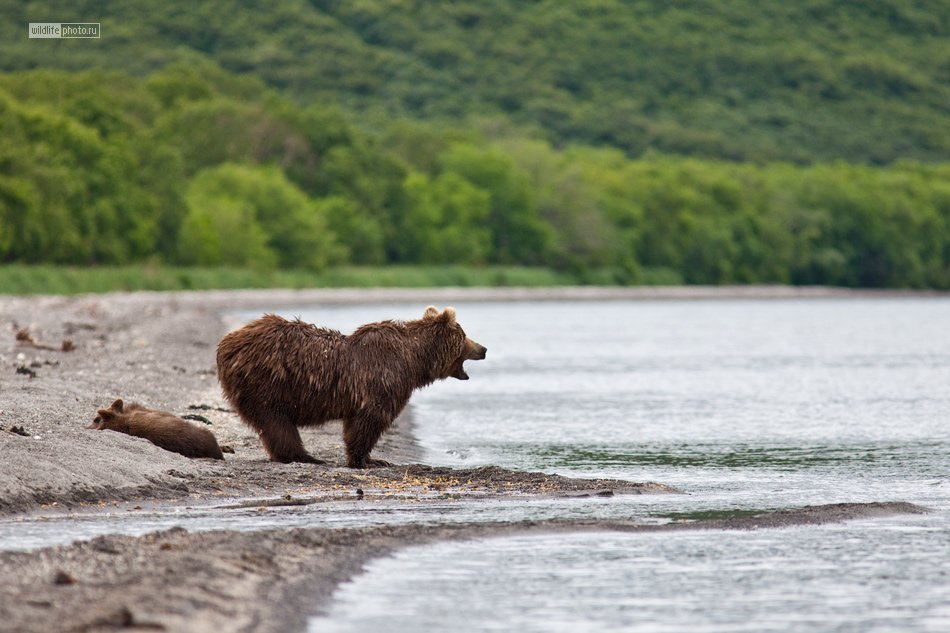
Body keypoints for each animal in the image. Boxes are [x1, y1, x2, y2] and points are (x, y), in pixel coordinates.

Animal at [215, 306, 484, 470]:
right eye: (464, 335)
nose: (483, 348)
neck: (414, 360)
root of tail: (226, 344)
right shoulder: (383, 381)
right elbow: (370, 420)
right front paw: (366, 460)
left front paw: (372, 459)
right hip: (268, 380)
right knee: (277, 421)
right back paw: (306, 456)